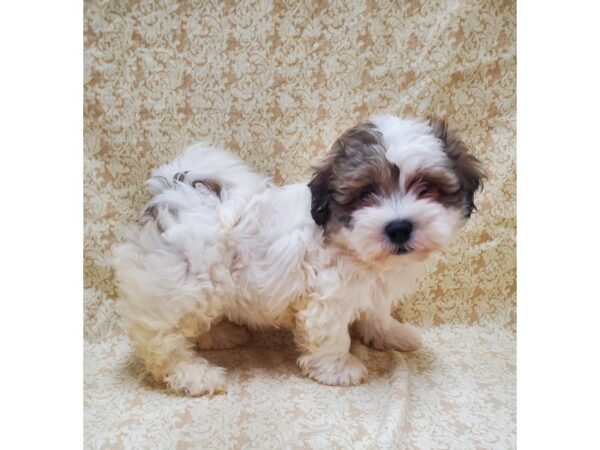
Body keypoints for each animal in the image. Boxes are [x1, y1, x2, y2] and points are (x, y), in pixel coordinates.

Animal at [115, 114, 486, 396]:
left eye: (427, 188)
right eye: (365, 193)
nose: (399, 227)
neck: (350, 245)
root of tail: (174, 195)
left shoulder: (371, 291)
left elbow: (375, 314)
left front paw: (390, 333)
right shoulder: (327, 298)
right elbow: (331, 334)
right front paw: (339, 368)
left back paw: (219, 335)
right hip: (181, 285)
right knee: (161, 340)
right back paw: (194, 374)